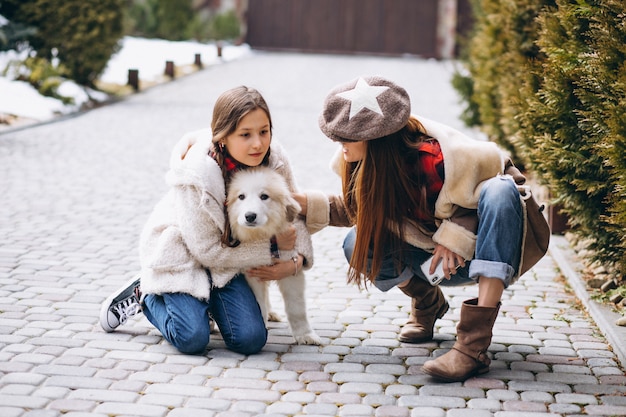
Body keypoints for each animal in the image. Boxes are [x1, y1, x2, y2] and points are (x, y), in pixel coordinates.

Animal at [227, 166, 320, 344]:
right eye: (241, 196)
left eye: (264, 196)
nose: (250, 216)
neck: (264, 237)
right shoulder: (253, 274)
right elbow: (259, 303)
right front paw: (262, 325)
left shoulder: (290, 271)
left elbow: (296, 308)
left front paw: (305, 335)